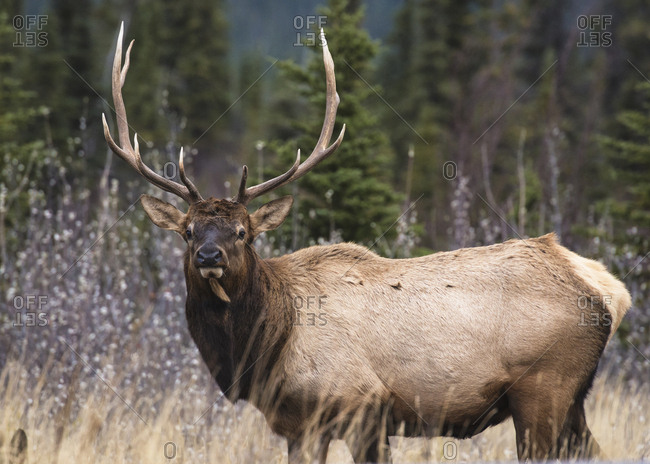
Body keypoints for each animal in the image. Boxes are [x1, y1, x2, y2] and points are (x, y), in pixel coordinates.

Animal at [104, 23, 632, 462]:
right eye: (188, 231)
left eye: (243, 233)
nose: (209, 256)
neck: (267, 346)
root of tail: (610, 290)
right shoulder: (300, 426)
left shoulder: (364, 410)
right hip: (572, 399)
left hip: (545, 388)